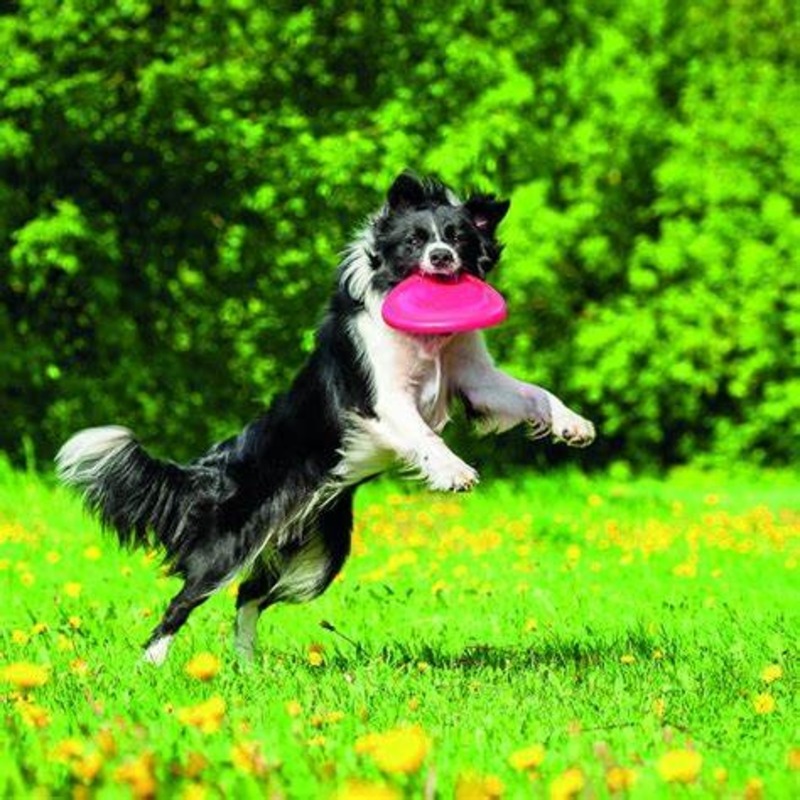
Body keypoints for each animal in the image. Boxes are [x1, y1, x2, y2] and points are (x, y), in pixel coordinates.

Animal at [57, 172, 592, 664]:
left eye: (459, 237)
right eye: (415, 241)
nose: (441, 258)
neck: (429, 343)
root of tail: (210, 470)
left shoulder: (475, 378)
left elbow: (532, 394)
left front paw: (573, 425)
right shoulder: (384, 398)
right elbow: (422, 434)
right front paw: (454, 471)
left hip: (318, 554)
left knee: (248, 596)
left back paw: (246, 668)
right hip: (231, 545)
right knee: (182, 602)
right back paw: (152, 666)